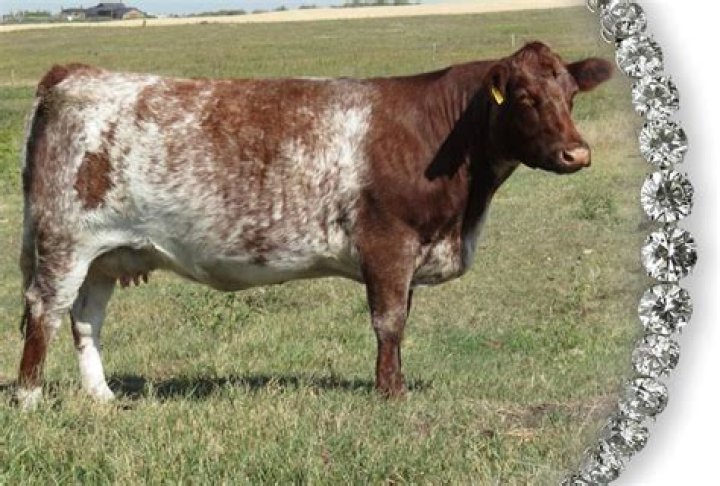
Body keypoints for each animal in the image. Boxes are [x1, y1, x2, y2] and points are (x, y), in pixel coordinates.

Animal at [16, 41, 612, 408]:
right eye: (526, 97)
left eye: (570, 95)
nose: (577, 153)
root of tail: (76, 73)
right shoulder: (388, 243)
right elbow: (389, 322)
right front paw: (390, 394)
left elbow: (401, 321)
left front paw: (393, 385)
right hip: (64, 241)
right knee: (44, 312)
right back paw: (28, 397)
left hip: (106, 254)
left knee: (86, 319)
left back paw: (102, 397)